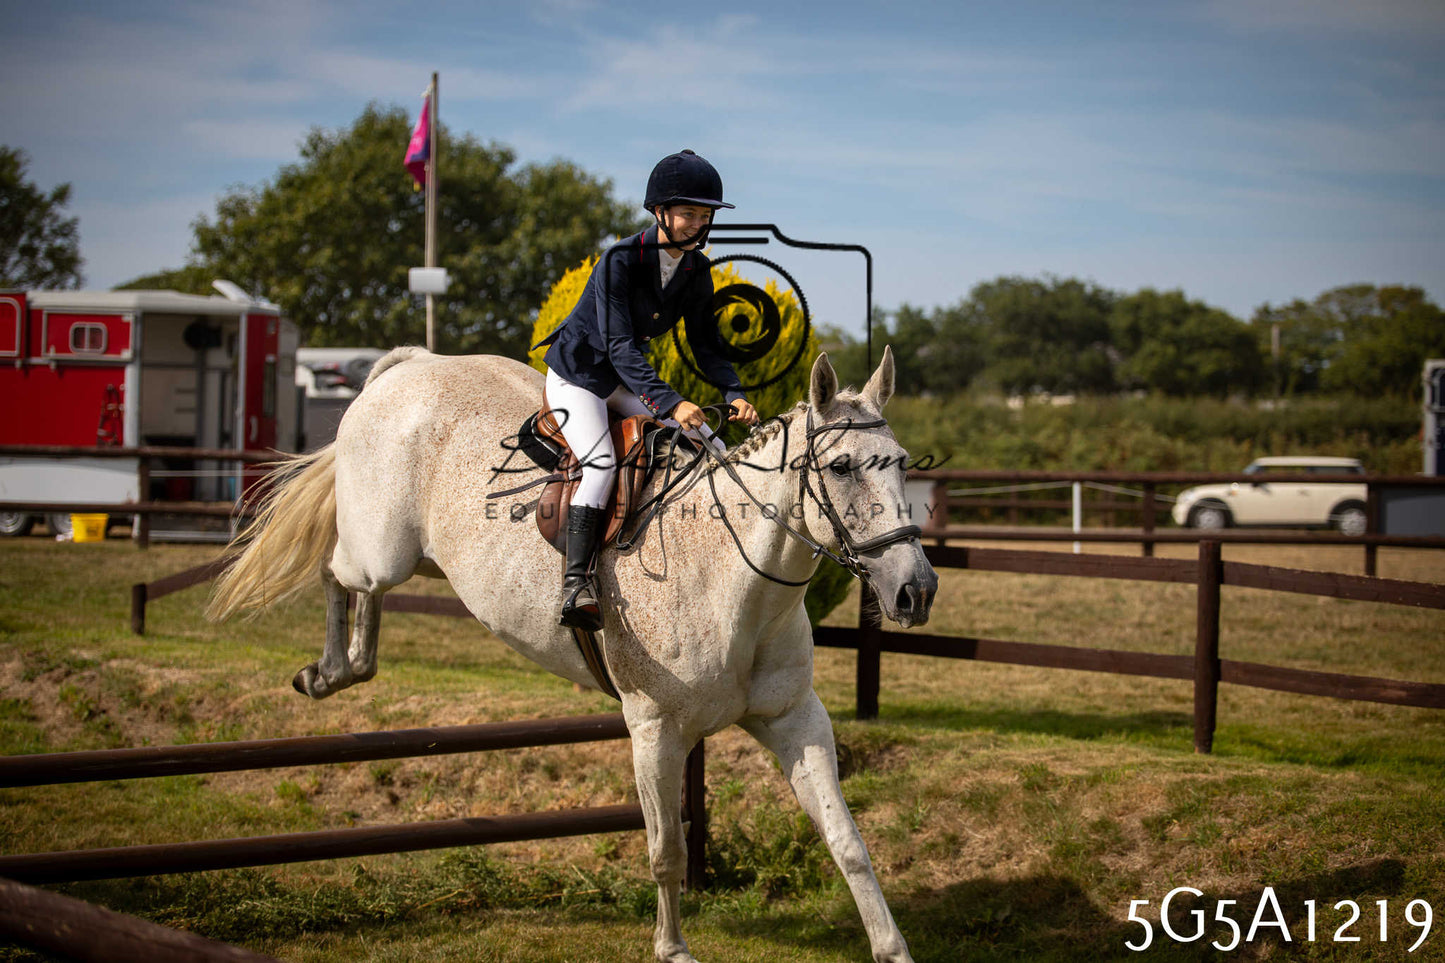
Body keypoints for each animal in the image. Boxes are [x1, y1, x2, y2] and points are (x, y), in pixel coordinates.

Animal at [208, 346, 937, 963]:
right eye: (840, 467)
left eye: (902, 461)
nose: (915, 590)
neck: (730, 575)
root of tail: (410, 365)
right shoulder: (655, 731)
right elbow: (666, 850)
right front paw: (672, 949)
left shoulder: (795, 719)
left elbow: (847, 842)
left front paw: (891, 948)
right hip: (380, 551)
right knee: (337, 571)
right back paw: (325, 671)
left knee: (361, 603)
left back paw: (347, 664)